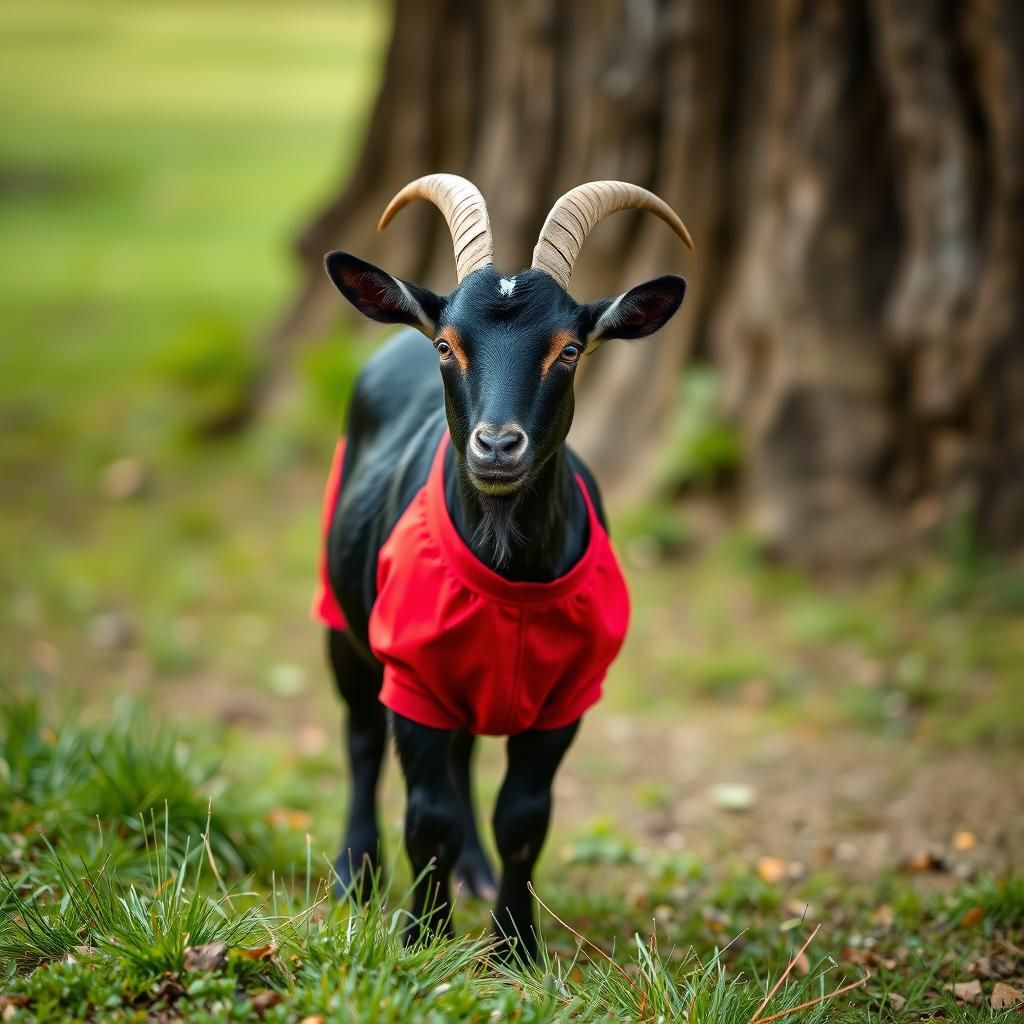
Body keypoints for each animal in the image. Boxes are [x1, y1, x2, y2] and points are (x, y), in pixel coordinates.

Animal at [313, 174, 691, 958]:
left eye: (570, 349)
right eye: (448, 345)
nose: (496, 445)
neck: (510, 576)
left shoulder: (568, 692)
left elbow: (523, 816)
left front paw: (514, 946)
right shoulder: (412, 671)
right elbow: (427, 816)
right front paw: (423, 940)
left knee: (463, 758)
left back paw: (476, 876)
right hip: (343, 622)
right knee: (360, 738)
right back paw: (354, 875)